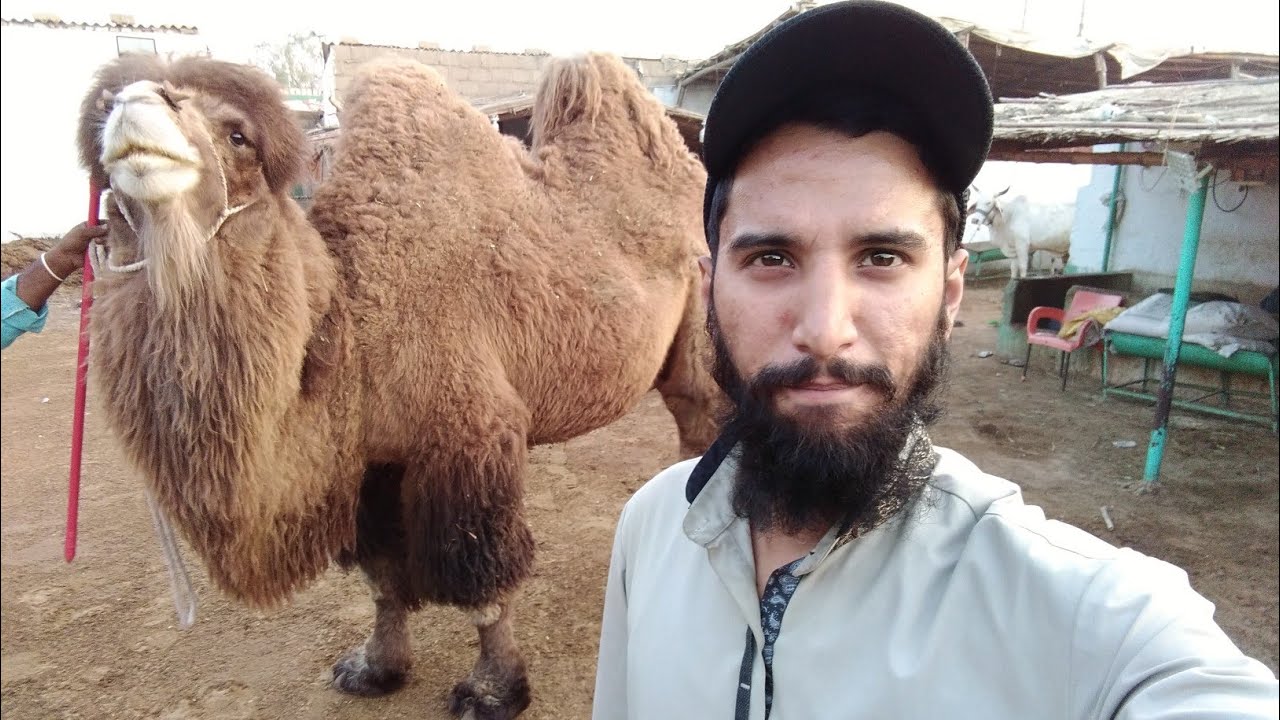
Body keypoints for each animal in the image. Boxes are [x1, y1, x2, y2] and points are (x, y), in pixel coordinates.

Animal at [75, 50, 720, 718]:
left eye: (238, 135)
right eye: (101, 118)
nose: (134, 106)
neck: (351, 333)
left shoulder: (469, 433)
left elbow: (479, 578)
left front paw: (493, 690)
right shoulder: (371, 460)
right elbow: (381, 575)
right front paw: (374, 667)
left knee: (702, 419)